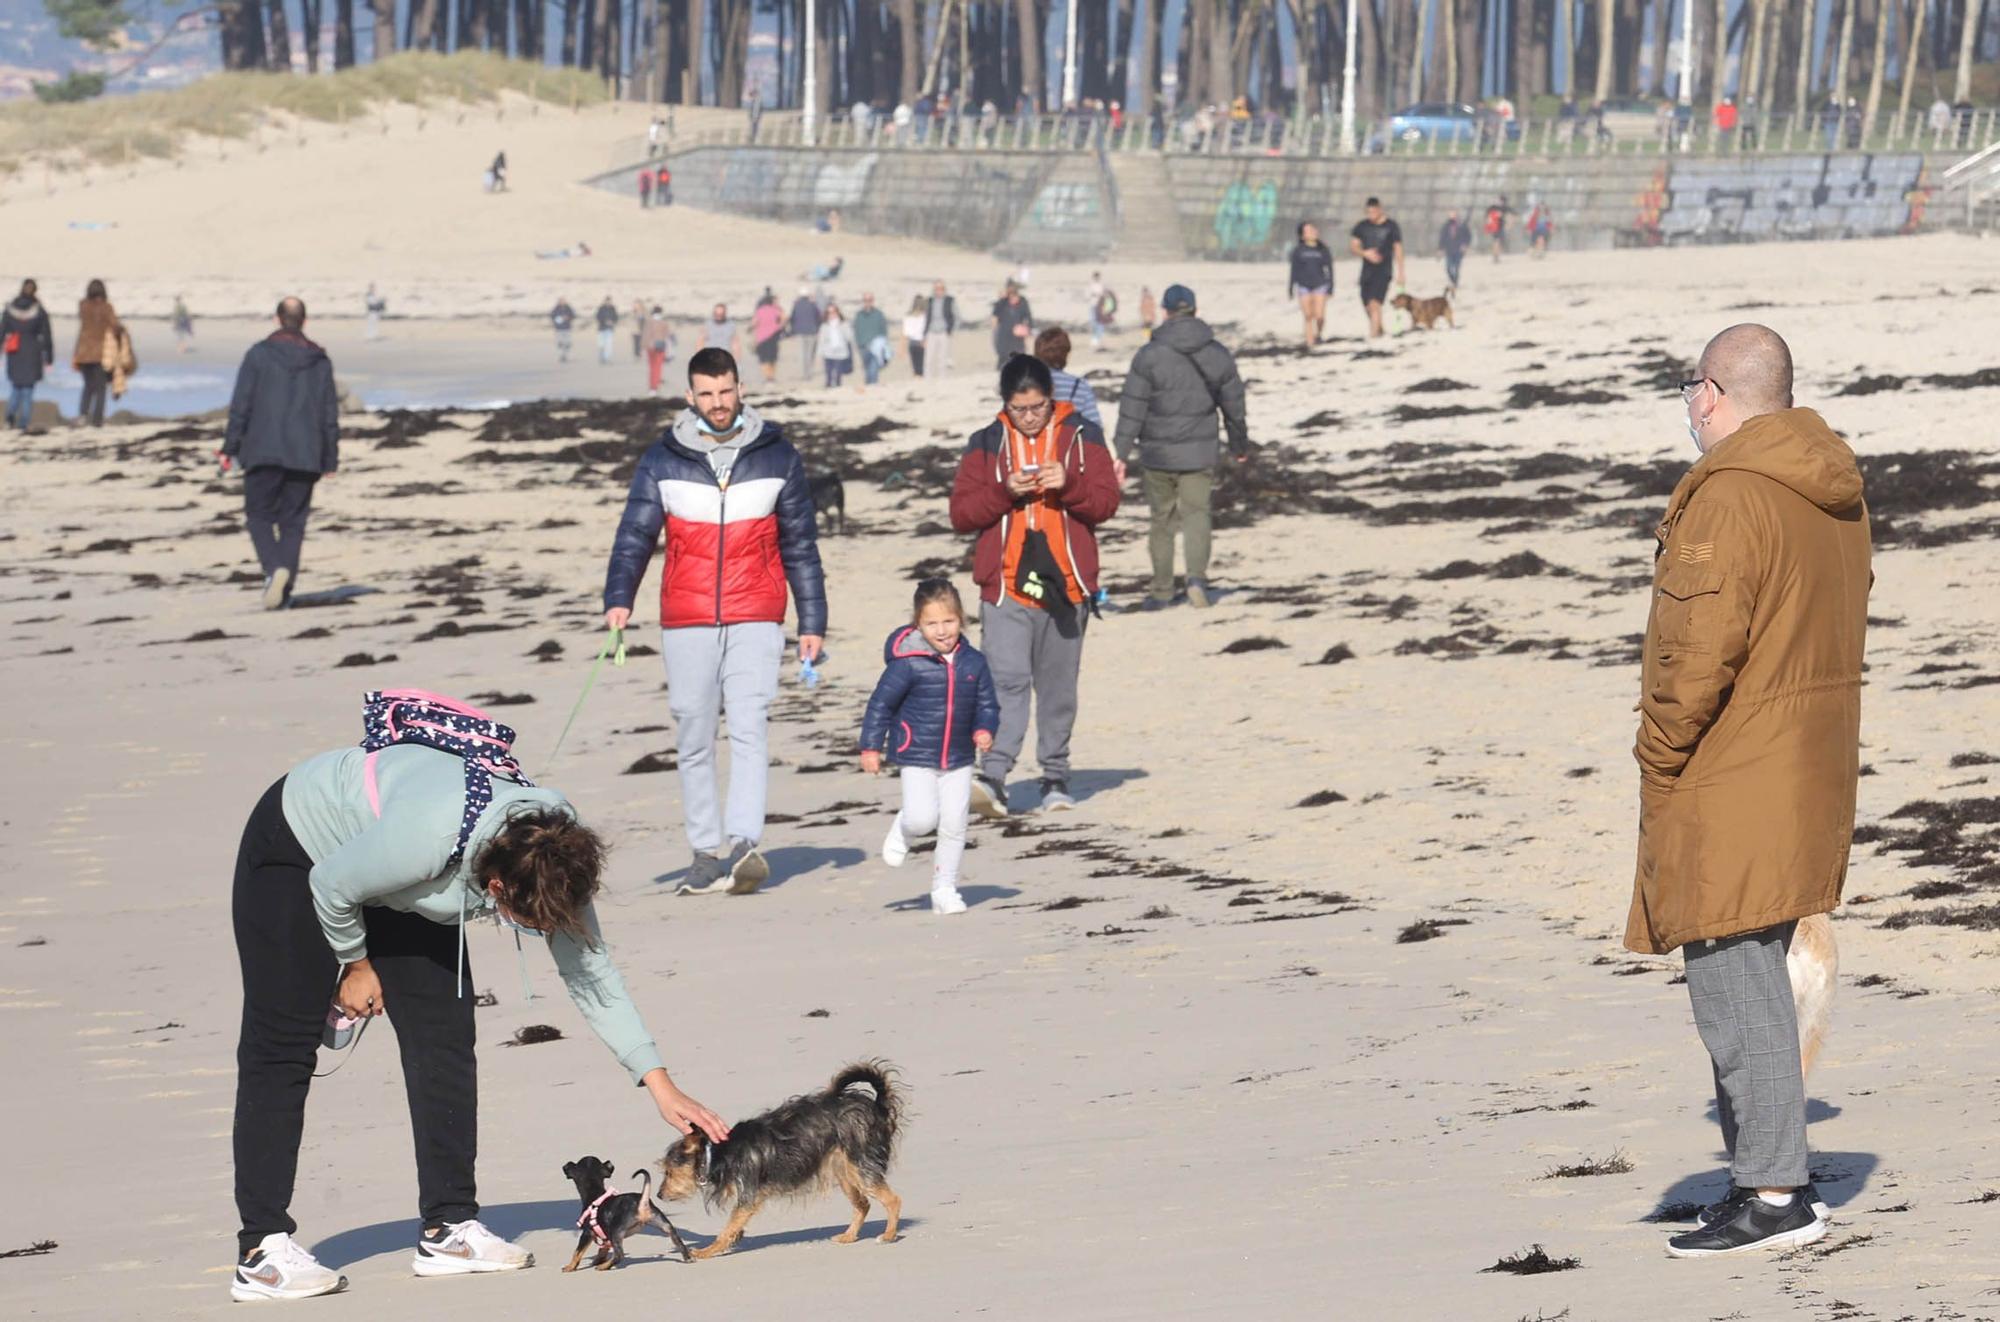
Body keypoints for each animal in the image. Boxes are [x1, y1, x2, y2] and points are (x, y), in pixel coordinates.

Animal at [560, 1152, 692, 1272]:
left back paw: (604, 1267)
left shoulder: (587, 1233)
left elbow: (577, 1252)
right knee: (678, 1241)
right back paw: (688, 1257)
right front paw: (597, 1260)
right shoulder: (605, 1238)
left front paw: (570, 1267)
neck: (595, 1192)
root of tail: (641, 1203)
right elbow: (602, 1249)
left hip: (615, 1232)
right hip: (665, 1225)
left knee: (619, 1254)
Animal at [660, 1056, 904, 1256]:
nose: (659, 1195)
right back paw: (849, 1236)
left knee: (893, 1200)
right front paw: (733, 1239)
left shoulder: (748, 1194)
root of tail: (876, 1106)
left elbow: (728, 1227)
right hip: (844, 1169)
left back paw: (888, 1235)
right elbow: (735, 1225)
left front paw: (707, 1251)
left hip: (861, 1164)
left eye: (669, 1172)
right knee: (863, 1204)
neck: (717, 1153)